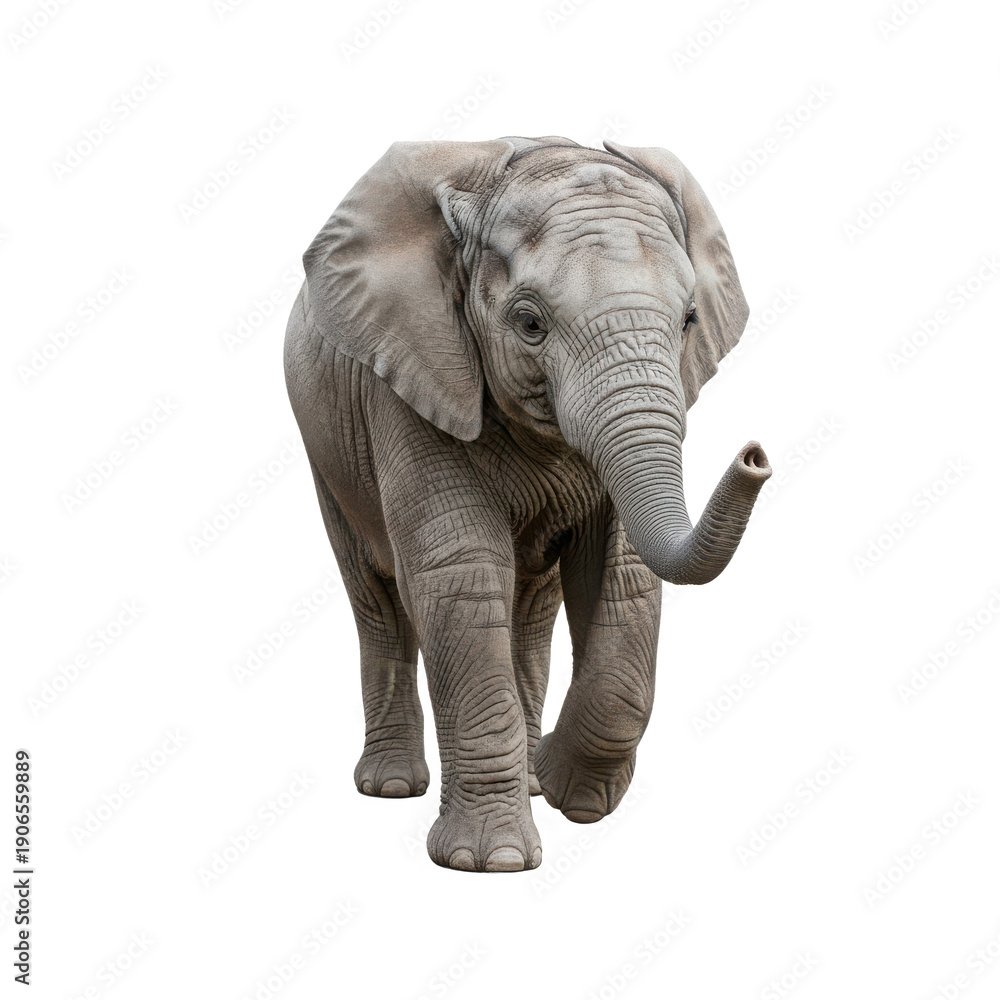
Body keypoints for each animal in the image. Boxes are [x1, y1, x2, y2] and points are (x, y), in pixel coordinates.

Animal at [283, 135, 771, 872]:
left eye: (689, 320)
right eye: (529, 323)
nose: (754, 457)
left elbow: (621, 576)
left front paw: (570, 795)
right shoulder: (410, 377)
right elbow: (461, 573)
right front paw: (493, 862)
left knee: (532, 603)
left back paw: (533, 782)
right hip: (327, 448)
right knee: (377, 597)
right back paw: (392, 788)